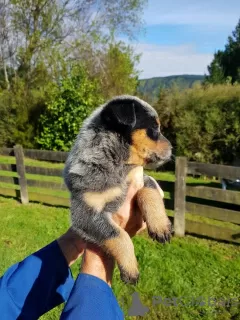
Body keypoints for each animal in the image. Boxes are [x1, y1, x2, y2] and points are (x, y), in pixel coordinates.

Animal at [63, 95, 172, 284]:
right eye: (154, 129)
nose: (172, 147)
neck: (119, 167)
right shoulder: (85, 213)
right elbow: (118, 235)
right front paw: (130, 269)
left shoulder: (142, 178)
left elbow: (149, 192)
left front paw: (160, 227)